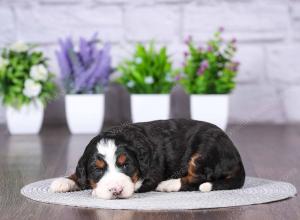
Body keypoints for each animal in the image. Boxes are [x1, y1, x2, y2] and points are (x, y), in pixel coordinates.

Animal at [50, 119, 245, 200]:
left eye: (126, 165)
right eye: (98, 169)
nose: (116, 190)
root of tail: (237, 156)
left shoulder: (151, 174)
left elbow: (136, 183)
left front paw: (95, 191)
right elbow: (79, 175)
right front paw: (63, 182)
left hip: (204, 153)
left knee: (198, 179)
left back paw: (168, 185)